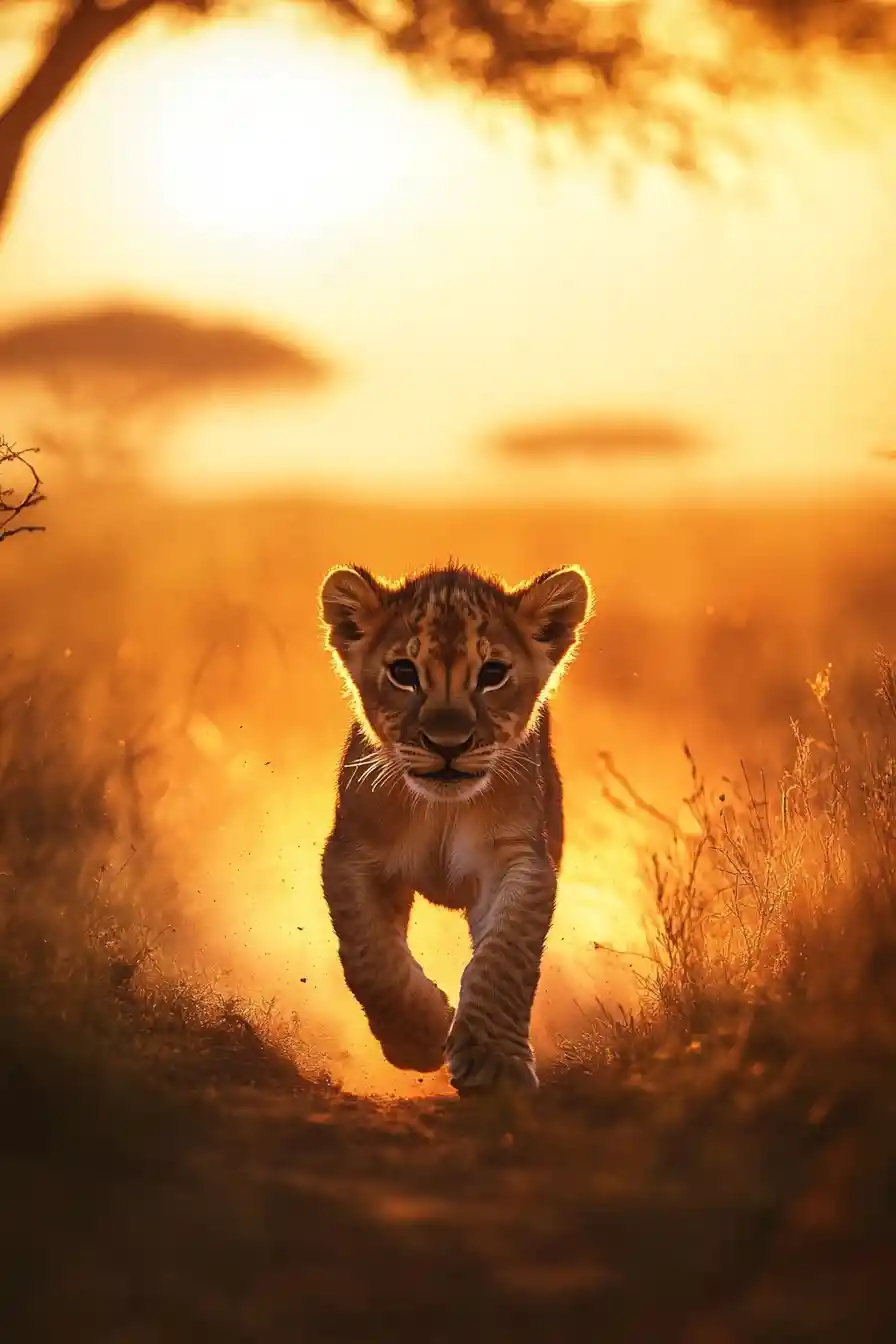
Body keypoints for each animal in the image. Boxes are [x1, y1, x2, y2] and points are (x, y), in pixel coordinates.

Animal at [318, 561, 593, 1095]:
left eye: (492, 674)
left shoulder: (519, 858)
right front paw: (419, 1034)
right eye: (404, 673)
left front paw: (494, 1064)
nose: (448, 744)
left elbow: (506, 956)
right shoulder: (351, 855)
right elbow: (369, 955)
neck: (441, 812)